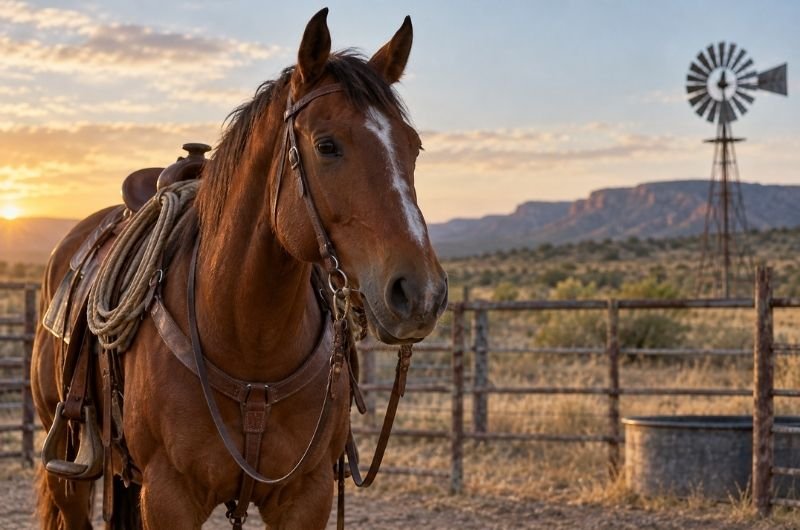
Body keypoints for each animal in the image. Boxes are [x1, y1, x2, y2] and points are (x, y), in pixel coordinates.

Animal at [31, 8, 447, 529]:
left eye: (413, 147)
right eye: (326, 145)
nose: (421, 294)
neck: (249, 339)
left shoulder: (307, 495)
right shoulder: (168, 495)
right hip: (68, 472)